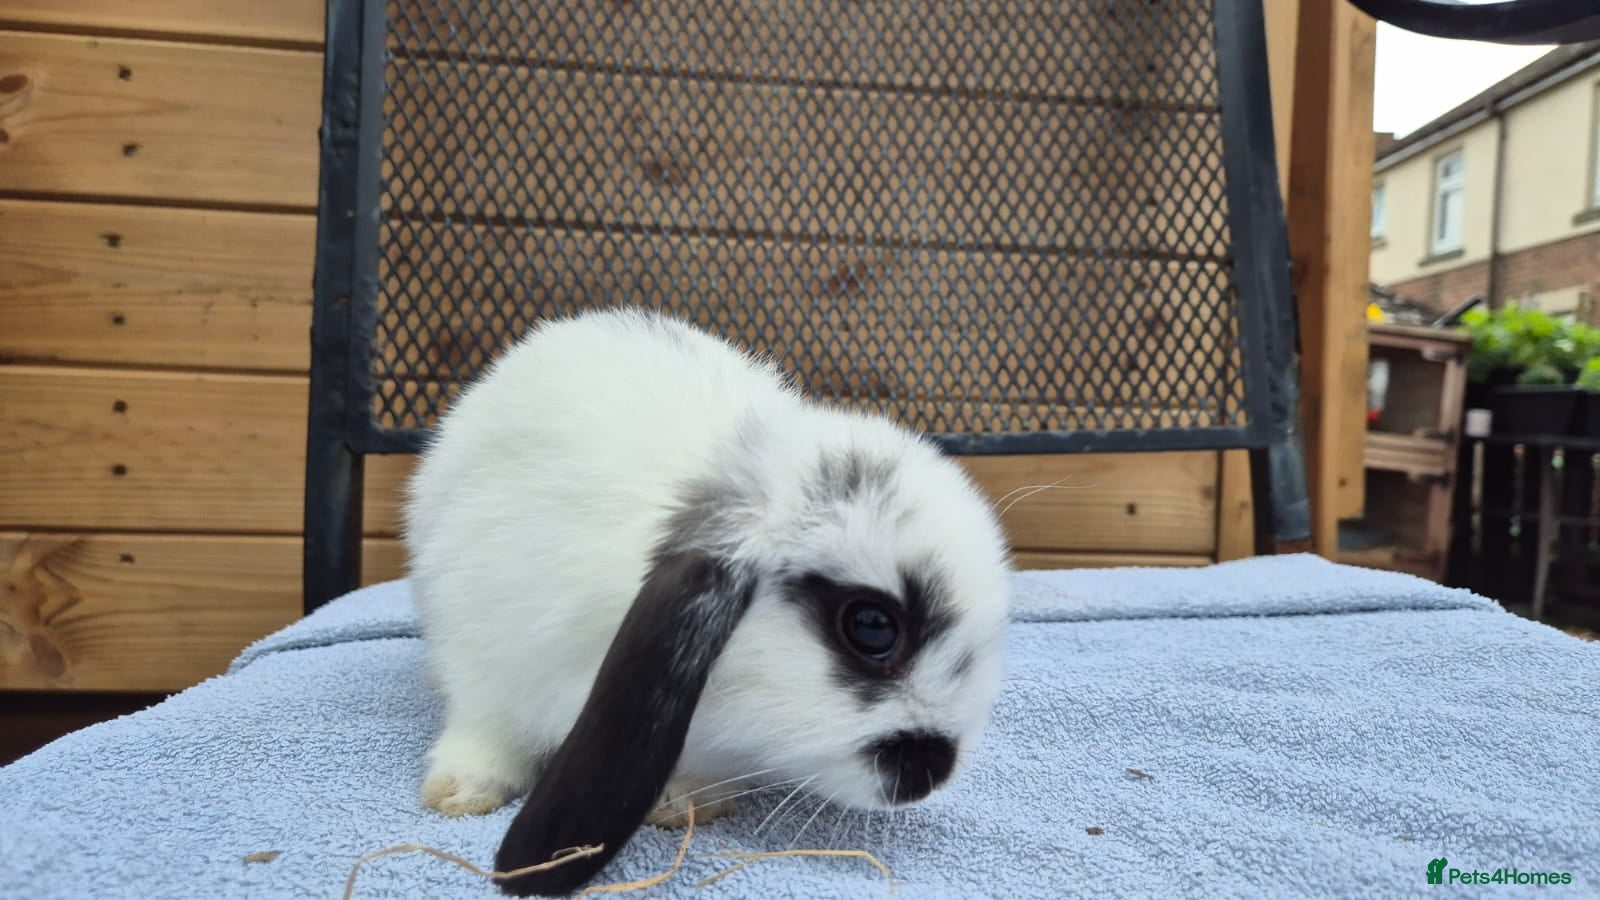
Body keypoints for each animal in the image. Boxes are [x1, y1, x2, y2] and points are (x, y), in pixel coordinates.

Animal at [402, 306, 1014, 896]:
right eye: (872, 626)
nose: (934, 773)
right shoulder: (483, 650)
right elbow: (486, 725)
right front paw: (463, 792)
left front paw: (689, 801)